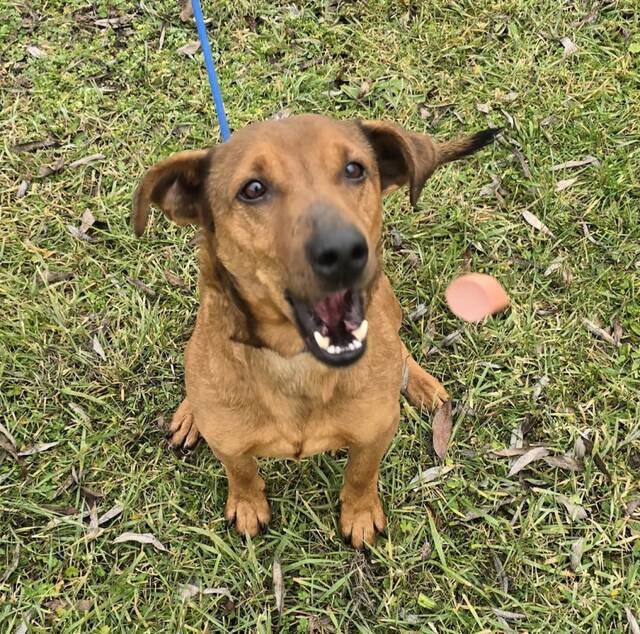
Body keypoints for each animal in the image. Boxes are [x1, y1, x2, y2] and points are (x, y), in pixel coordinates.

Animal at [133, 115, 497, 547]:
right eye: (253, 189)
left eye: (355, 169)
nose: (342, 252)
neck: (296, 363)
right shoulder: (230, 445)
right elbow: (241, 472)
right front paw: (248, 504)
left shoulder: (376, 432)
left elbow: (361, 473)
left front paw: (359, 513)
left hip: (388, 304)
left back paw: (420, 383)